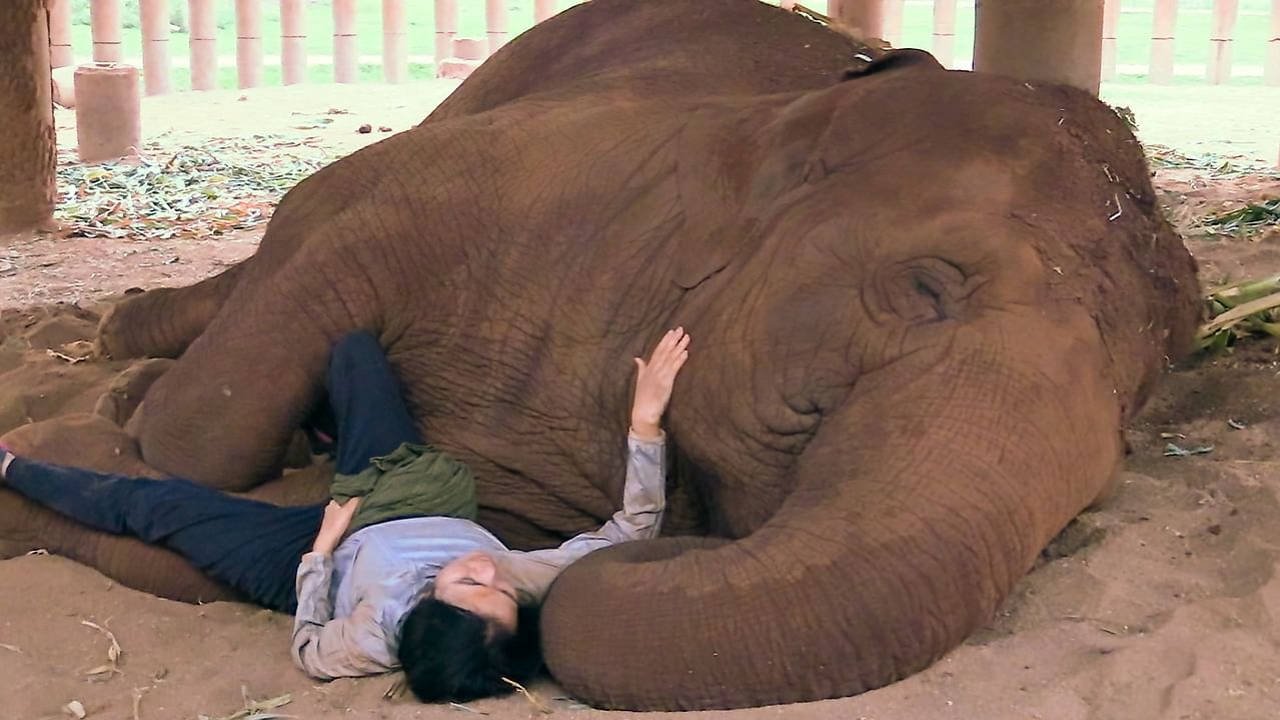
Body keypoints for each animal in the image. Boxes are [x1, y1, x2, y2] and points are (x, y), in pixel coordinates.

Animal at [2, 0, 1199, 711]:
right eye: (924, 291)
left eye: (1117, 448)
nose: (672, 541)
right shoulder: (497, 183)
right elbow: (208, 430)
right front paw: (102, 418)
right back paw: (114, 351)